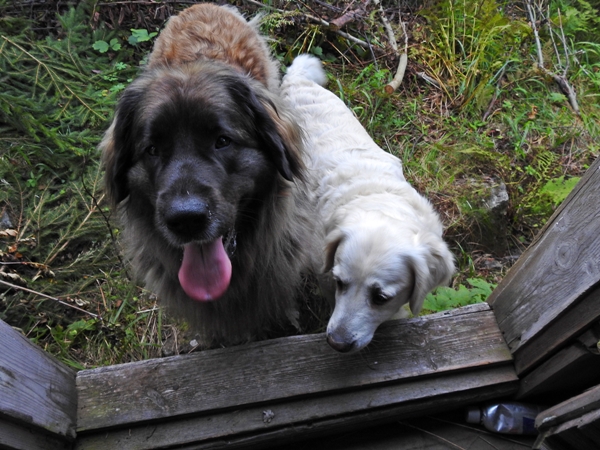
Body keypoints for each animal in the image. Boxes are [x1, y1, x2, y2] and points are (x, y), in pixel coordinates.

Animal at [282, 55, 454, 352]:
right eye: (340, 282)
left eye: (381, 297)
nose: (337, 343)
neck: (378, 201)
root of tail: (296, 79)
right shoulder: (323, 270)